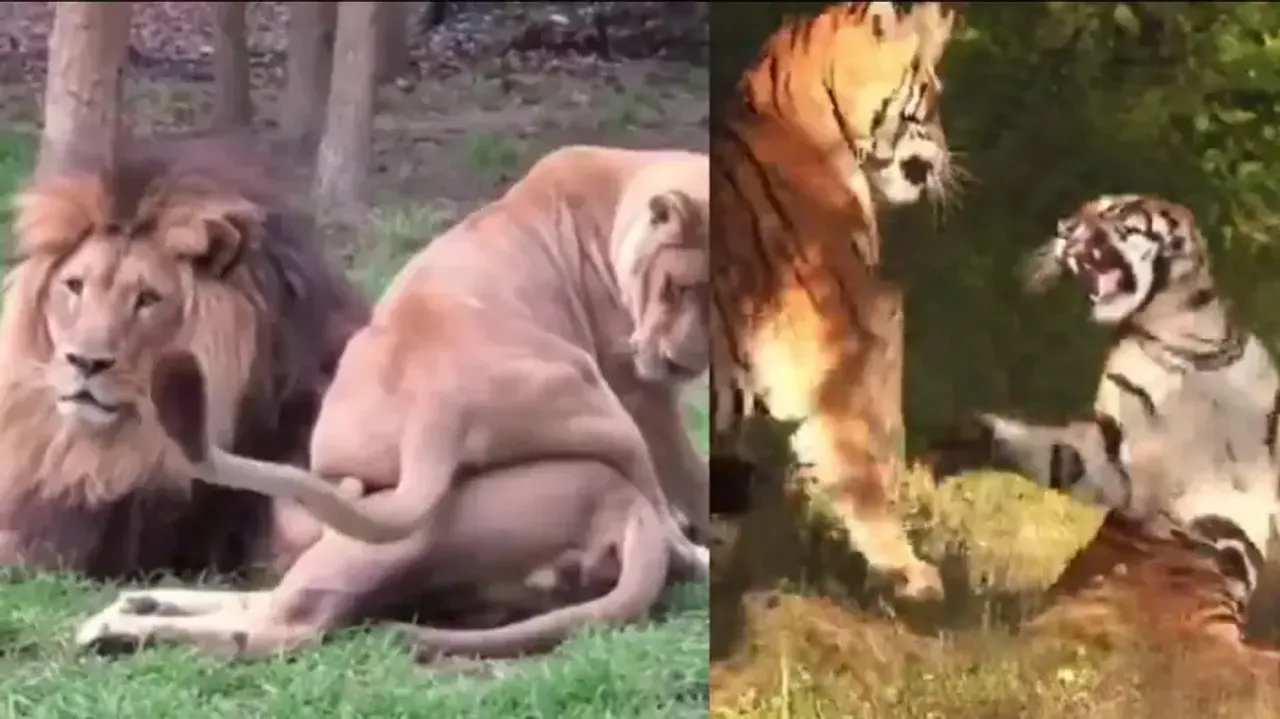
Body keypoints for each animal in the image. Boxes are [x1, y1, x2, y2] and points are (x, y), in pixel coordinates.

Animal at [74, 145, 711, 660]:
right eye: (678, 287)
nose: (682, 361)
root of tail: (439, 407)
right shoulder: (641, 392)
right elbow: (687, 473)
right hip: (597, 402)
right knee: (277, 626)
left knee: (270, 605)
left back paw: (129, 613)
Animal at [927, 194, 1280, 607]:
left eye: (1115, 211)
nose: (1064, 228)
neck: (1183, 345)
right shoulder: (1118, 463)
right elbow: (1054, 453)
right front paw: (960, 444)